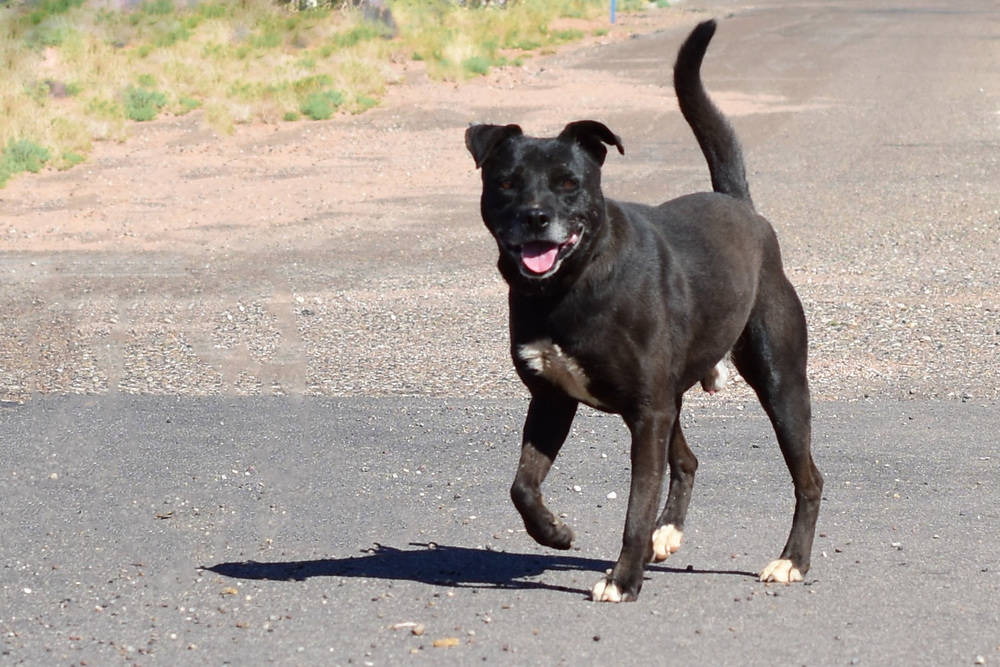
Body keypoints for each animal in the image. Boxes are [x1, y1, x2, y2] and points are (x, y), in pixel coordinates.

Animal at [464, 19, 824, 604]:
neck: (571, 287)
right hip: (671, 395)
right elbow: (523, 485)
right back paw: (668, 532)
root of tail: (742, 207)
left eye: (569, 183)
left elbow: (636, 507)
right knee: (688, 461)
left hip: (779, 382)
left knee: (809, 479)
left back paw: (792, 560)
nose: (536, 218)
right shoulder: (553, 400)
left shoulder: (646, 414)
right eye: (506, 182)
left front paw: (623, 580)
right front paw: (556, 531)